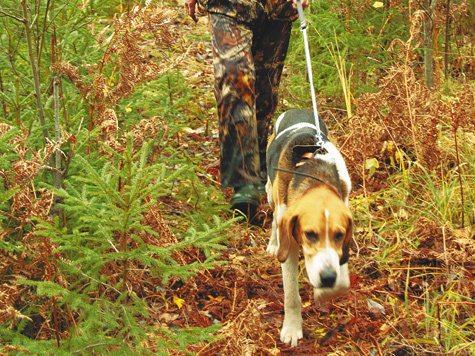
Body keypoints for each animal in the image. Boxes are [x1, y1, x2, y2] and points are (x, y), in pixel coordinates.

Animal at [268, 109, 354, 348]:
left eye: (339, 235)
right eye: (310, 234)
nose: (328, 277)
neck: (316, 177)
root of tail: (296, 110)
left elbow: (342, 276)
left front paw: (327, 289)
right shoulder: (289, 244)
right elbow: (291, 295)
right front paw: (291, 329)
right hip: (270, 194)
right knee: (273, 219)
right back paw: (273, 244)